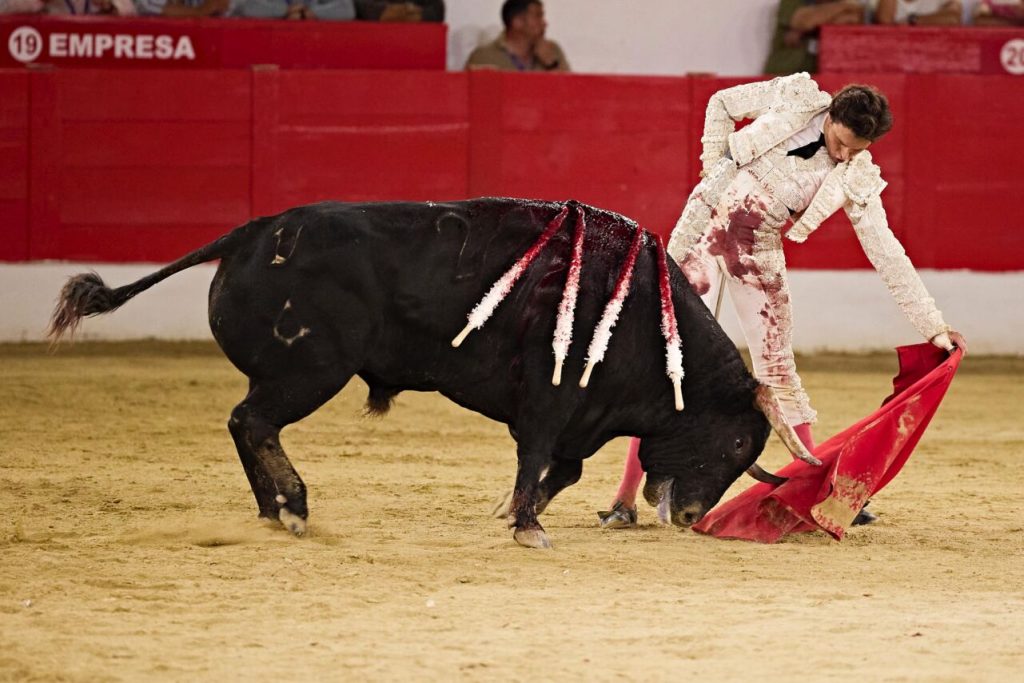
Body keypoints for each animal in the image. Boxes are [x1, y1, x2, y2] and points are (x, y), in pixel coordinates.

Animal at [49, 194, 815, 548]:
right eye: (738, 442)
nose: (688, 517)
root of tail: (254, 231)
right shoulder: (551, 400)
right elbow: (538, 456)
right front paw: (527, 526)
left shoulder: (579, 416)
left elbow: (559, 469)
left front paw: (515, 511)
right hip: (310, 371)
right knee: (254, 420)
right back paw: (293, 506)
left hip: (288, 373)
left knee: (243, 423)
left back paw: (270, 511)